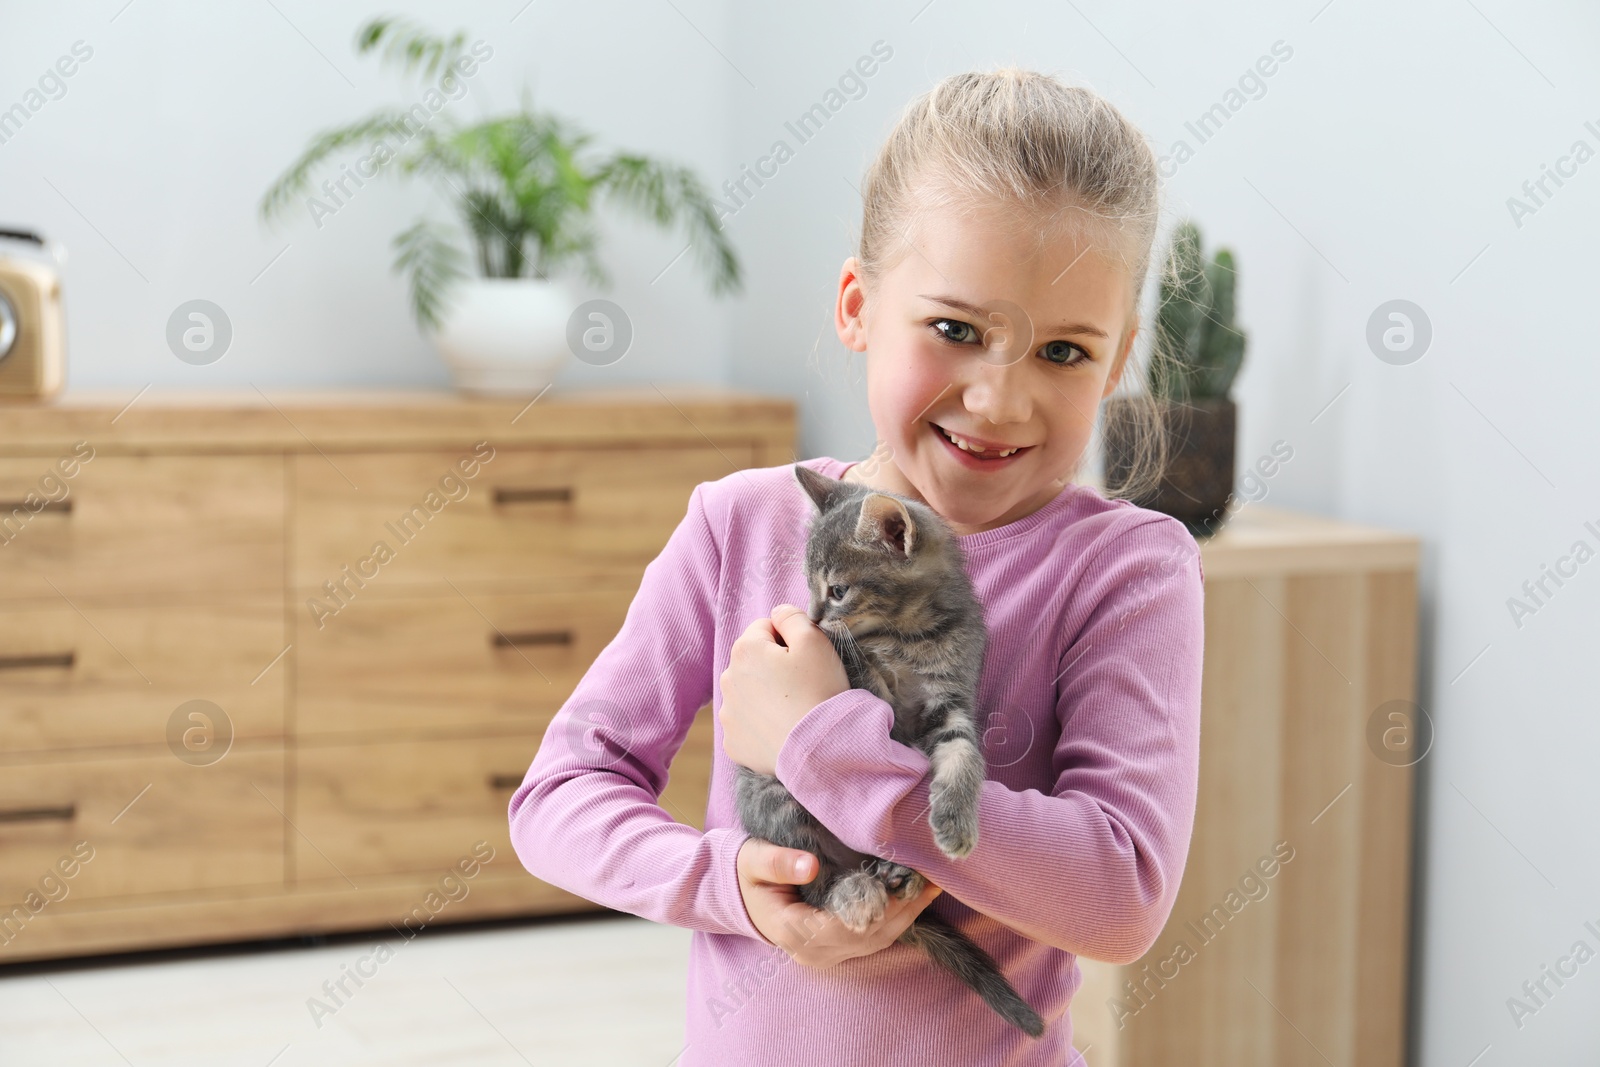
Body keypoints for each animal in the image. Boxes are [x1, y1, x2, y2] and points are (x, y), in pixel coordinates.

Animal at [732, 463, 1043, 1036]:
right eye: (810, 585)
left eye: (837, 589)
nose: (812, 619)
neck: (911, 634)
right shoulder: (867, 685)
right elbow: (870, 701)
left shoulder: (950, 704)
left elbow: (964, 752)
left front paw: (954, 820)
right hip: (777, 799)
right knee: (813, 880)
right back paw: (852, 891)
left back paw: (902, 872)